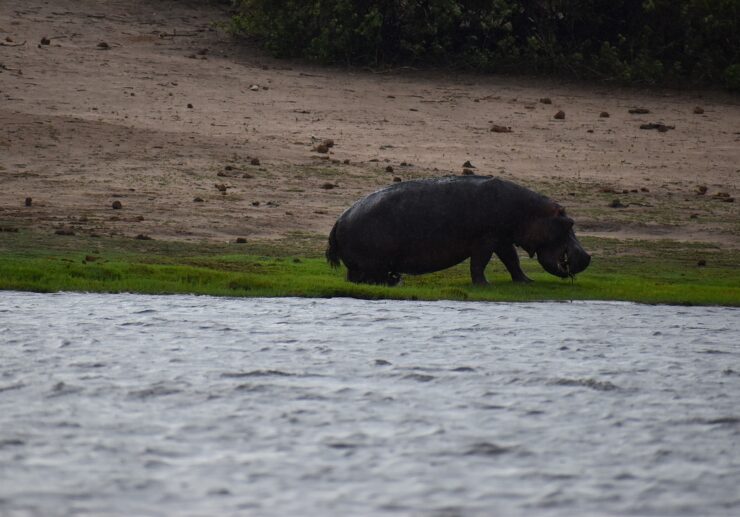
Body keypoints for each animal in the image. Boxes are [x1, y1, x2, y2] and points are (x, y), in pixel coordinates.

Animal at [325, 176, 590, 285]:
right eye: (569, 222)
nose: (587, 256)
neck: (530, 212)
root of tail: (339, 219)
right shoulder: (487, 239)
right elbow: (479, 263)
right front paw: (484, 286)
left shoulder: (502, 239)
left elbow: (512, 261)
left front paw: (526, 281)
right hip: (373, 263)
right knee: (369, 278)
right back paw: (394, 282)